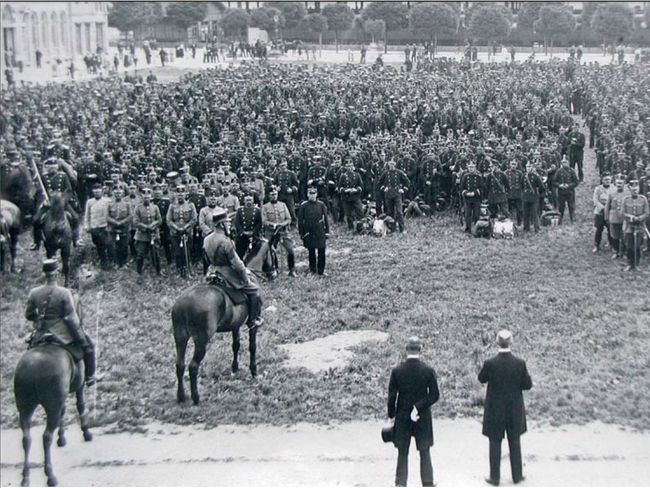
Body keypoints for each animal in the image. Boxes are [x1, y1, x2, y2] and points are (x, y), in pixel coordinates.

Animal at [14, 300, 92, 486]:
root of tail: (33, 368)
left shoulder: (61, 399)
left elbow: (64, 412)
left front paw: (62, 438)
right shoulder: (78, 387)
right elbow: (80, 406)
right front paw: (86, 432)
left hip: (25, 408)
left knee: (26, 439)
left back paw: (25, 478)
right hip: (51, 407)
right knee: (46, 437)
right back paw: (50, 476)